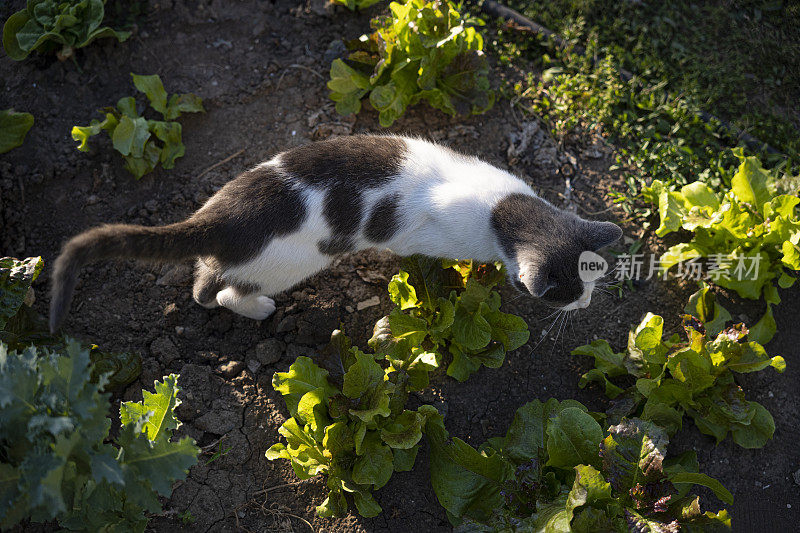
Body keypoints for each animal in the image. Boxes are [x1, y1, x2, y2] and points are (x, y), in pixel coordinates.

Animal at [48, 135, 624, 330]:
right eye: (566, 294)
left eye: (591, 279)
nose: (586, 305)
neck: (505, 209)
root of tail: (220, 216)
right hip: (285, 263)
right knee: (219, 290)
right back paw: (255, 308)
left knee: (203, 277)